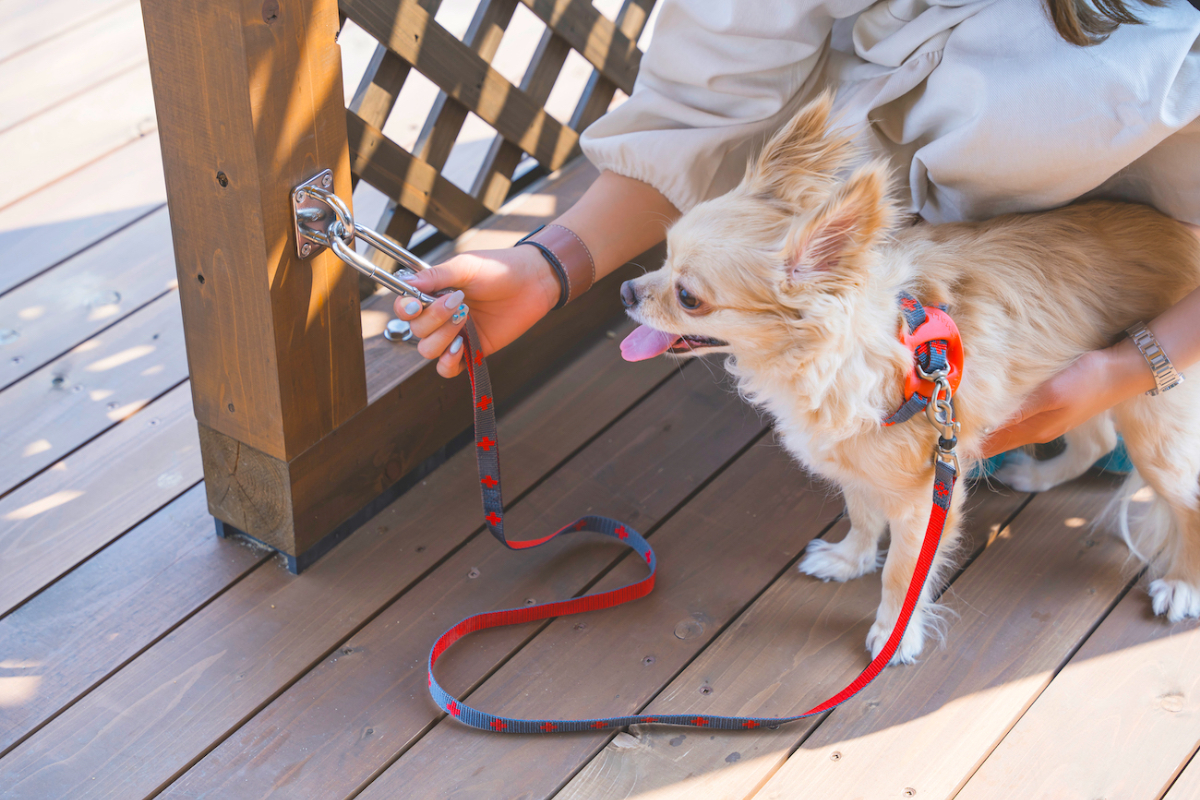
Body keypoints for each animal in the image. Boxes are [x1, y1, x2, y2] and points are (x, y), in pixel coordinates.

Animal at [619, 94, 1200, 662]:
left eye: (688, 297)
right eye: (662, 257)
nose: (626, 290)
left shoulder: (925, 498)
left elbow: (902, 574)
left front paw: (894, 633)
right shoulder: (856, 462)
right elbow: (860, 515)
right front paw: (849, 560)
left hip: (1153, 426)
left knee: (1186, 502)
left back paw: (1181, 584)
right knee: (1095, 438)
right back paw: (1038, 477)